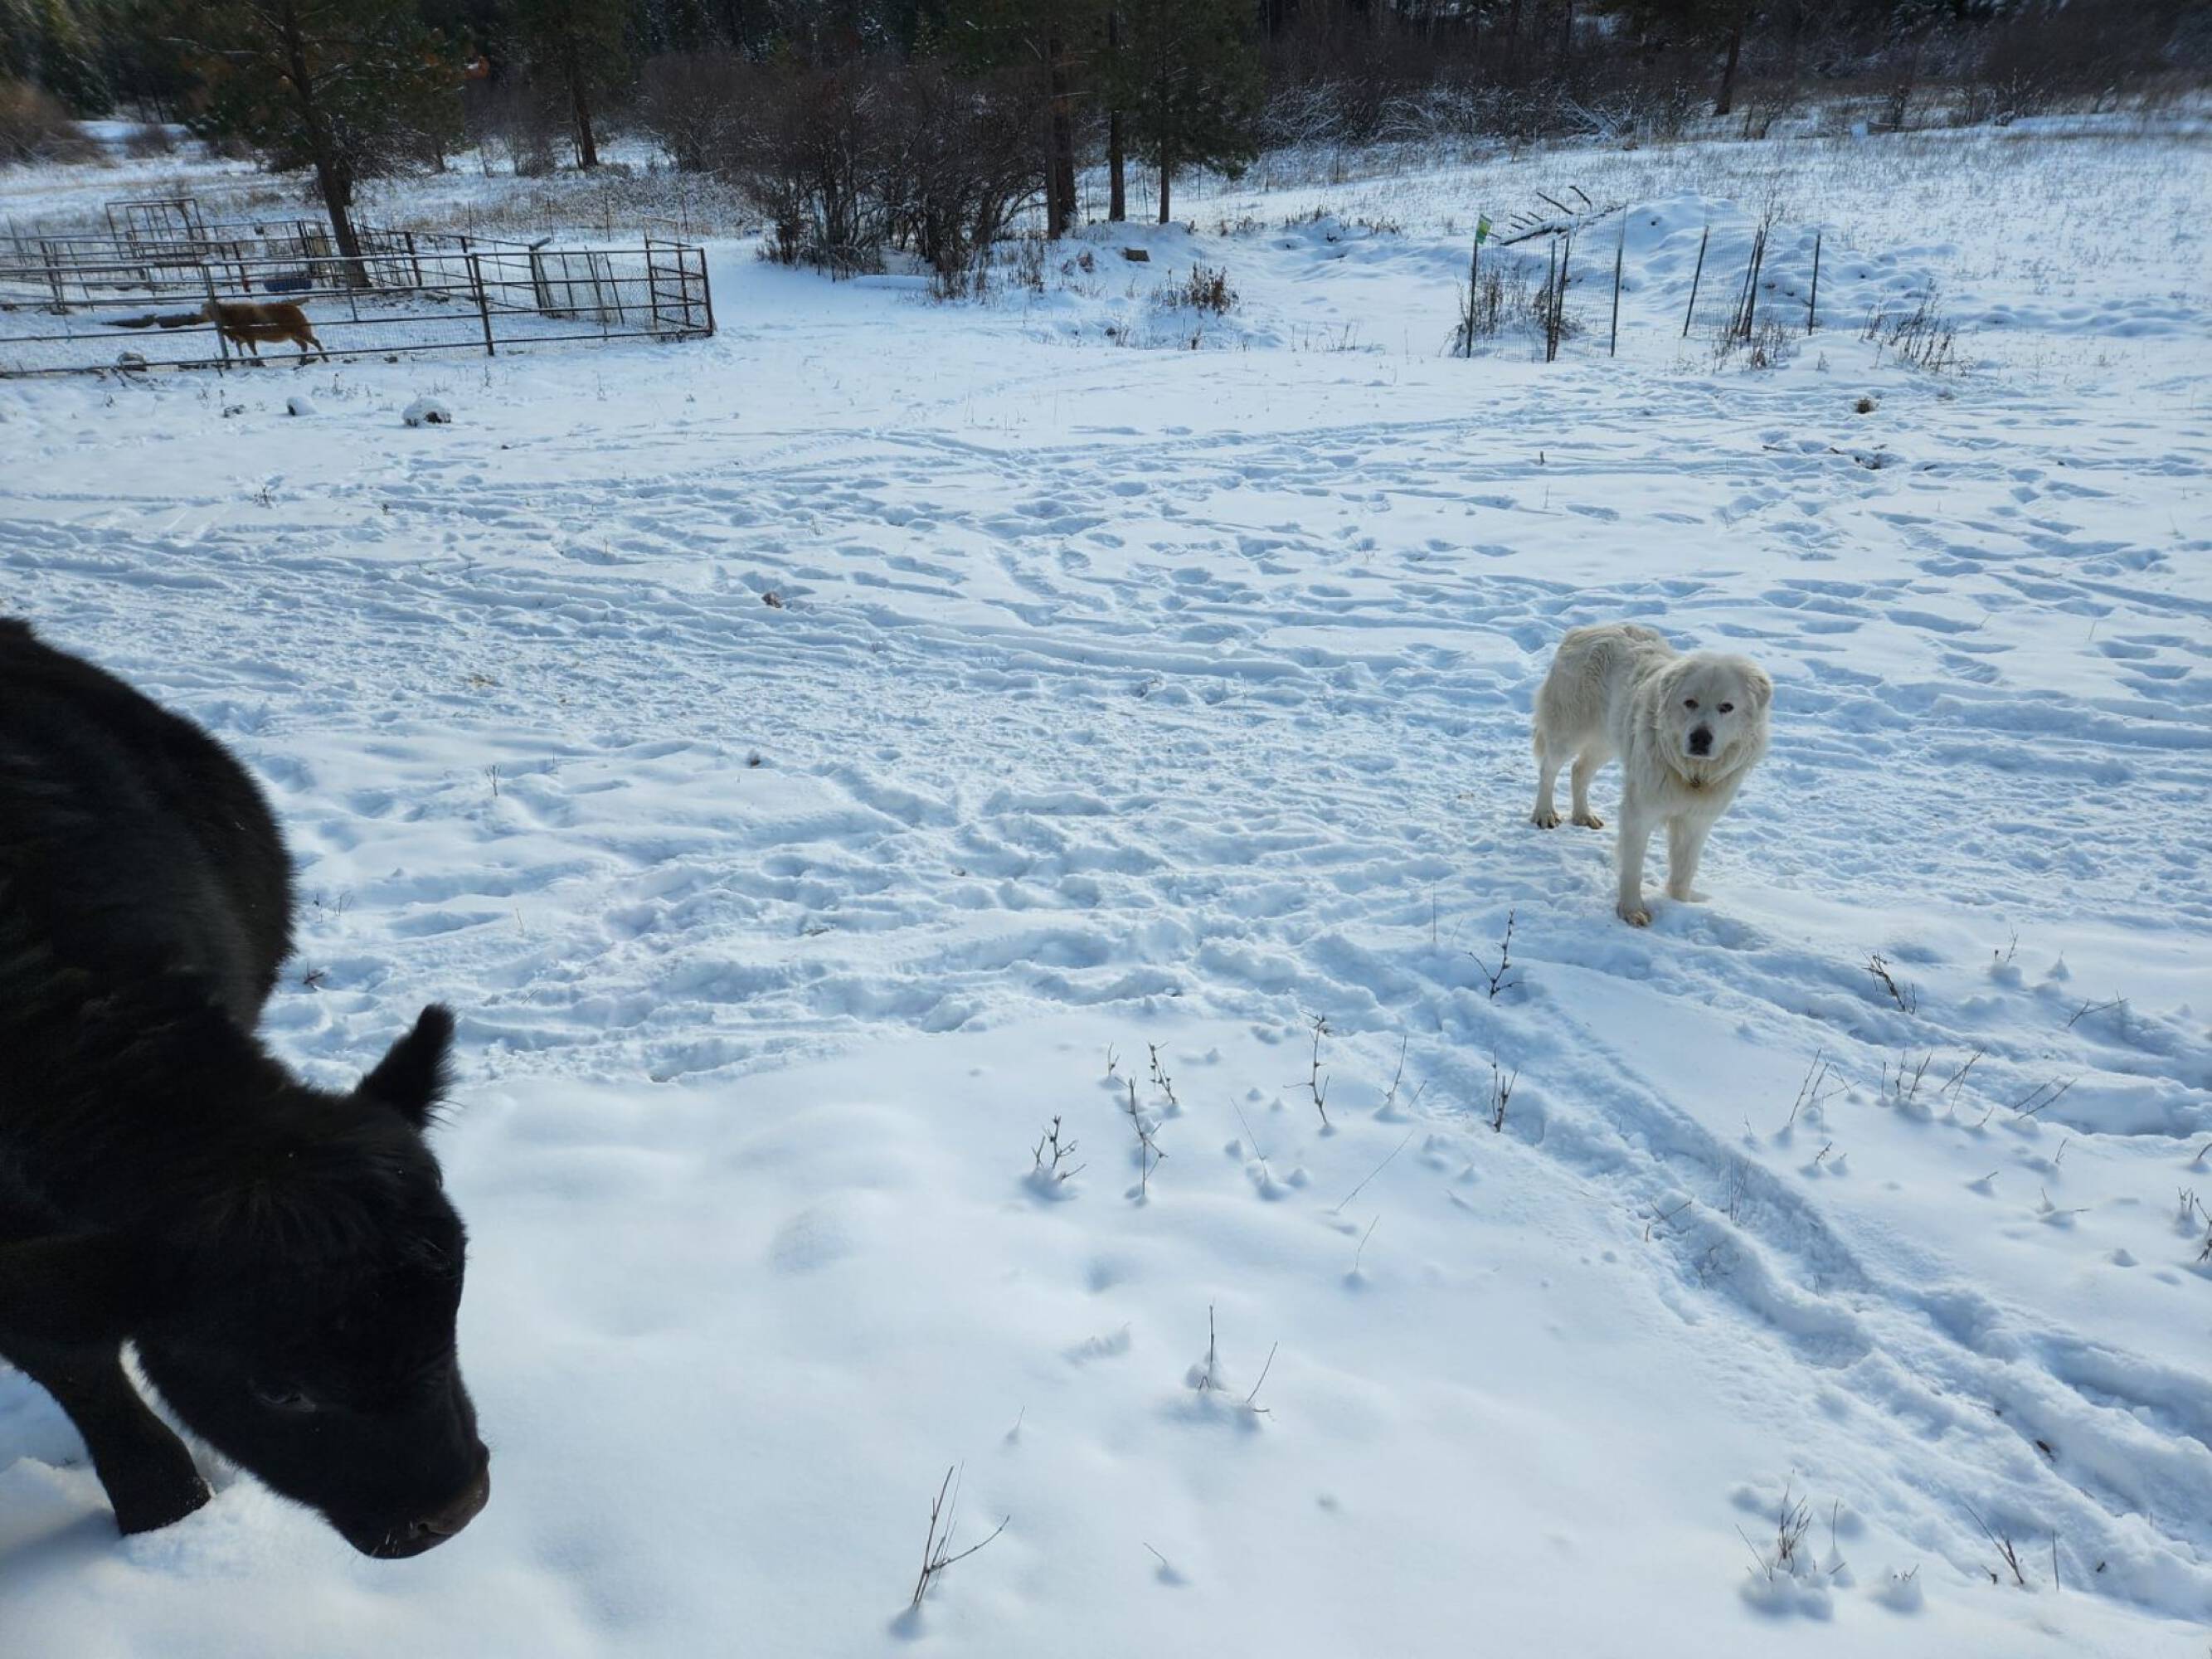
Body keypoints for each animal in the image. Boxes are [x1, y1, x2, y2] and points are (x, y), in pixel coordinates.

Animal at [202, 299, 326, 363]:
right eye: (207, 311)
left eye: (212, 310)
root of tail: (296, 309)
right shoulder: (244, 337)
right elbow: (239, 345)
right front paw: (242, 359)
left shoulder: (250, 337)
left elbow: (253, 351)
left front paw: (260, 362)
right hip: (293, 335)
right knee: (304, 346)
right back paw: (302, 362)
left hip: (300, 331)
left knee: (316, 342)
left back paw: (325, 358)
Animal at [1529, 623, 1772, 926]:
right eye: (1690, 703)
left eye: (1726, 707)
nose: (1700, 738)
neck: (1692, 773)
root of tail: (1584, 629)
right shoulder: (1639, 812)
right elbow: (1633, 866)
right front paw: (1632, 911)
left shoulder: (1696, 821)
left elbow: (1684, 871)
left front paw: (1680, 906)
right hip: (1570, 731)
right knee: (1549, 768)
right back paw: (1544, 813)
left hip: (1608, 738)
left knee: (1579, 770)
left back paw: (1584, 815)